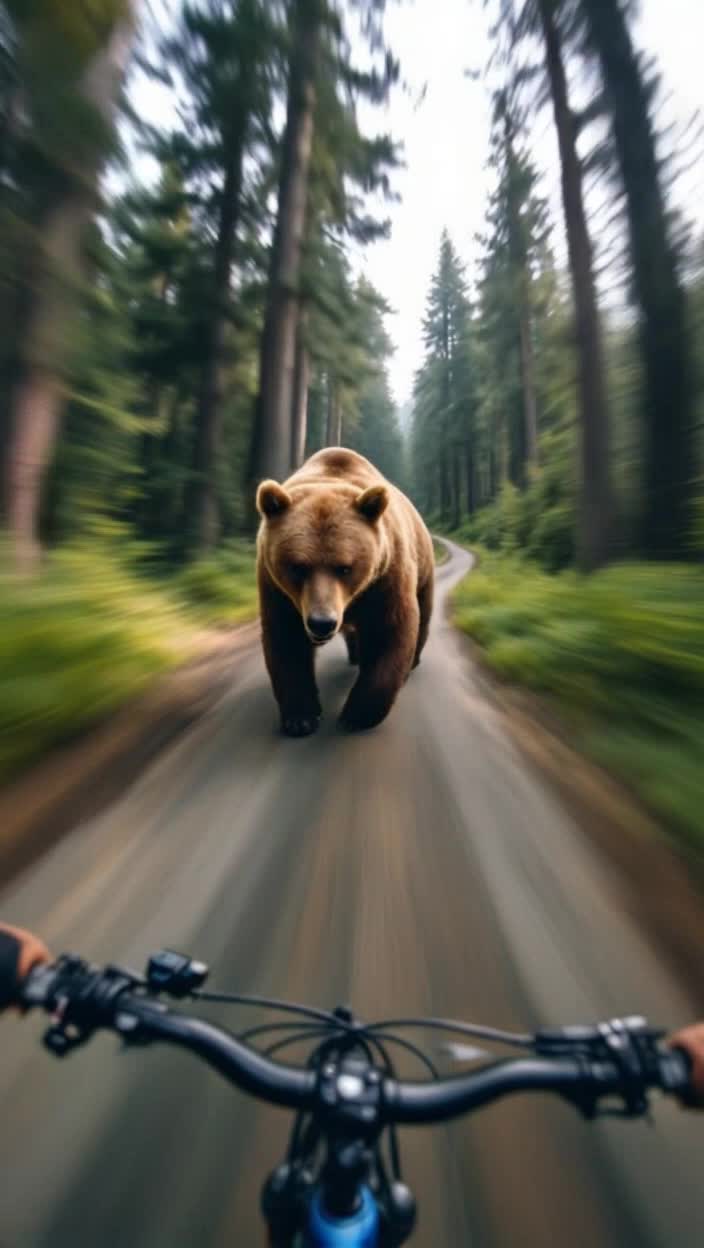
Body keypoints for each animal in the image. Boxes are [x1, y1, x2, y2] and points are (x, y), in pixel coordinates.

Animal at [255, 447, 434, 736]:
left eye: (344, 568)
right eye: (298, 567)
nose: (322, 622)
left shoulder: (385, 575)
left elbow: (390, 629)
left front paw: (357, 714)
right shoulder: (276, 588)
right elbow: (287, 639)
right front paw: (300, 717)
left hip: (424, 571)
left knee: (424, 614)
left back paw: (411, 662)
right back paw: (355, 654)